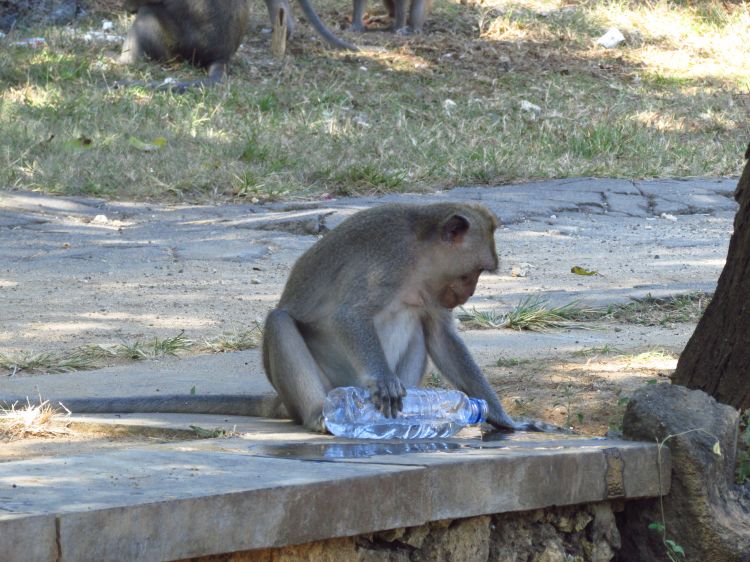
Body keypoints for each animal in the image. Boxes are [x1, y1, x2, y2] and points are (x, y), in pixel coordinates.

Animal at [262, 202, 545, 433]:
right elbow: (349, 314)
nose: (470, 292)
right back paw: (317, 415)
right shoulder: (388, 261)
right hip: (325, 384)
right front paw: (383, 380)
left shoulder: (434, 291)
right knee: (279, 322)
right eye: (474, 271)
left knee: (417, 327)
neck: (419, 254)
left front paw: (503, 420)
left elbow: (441, 336)